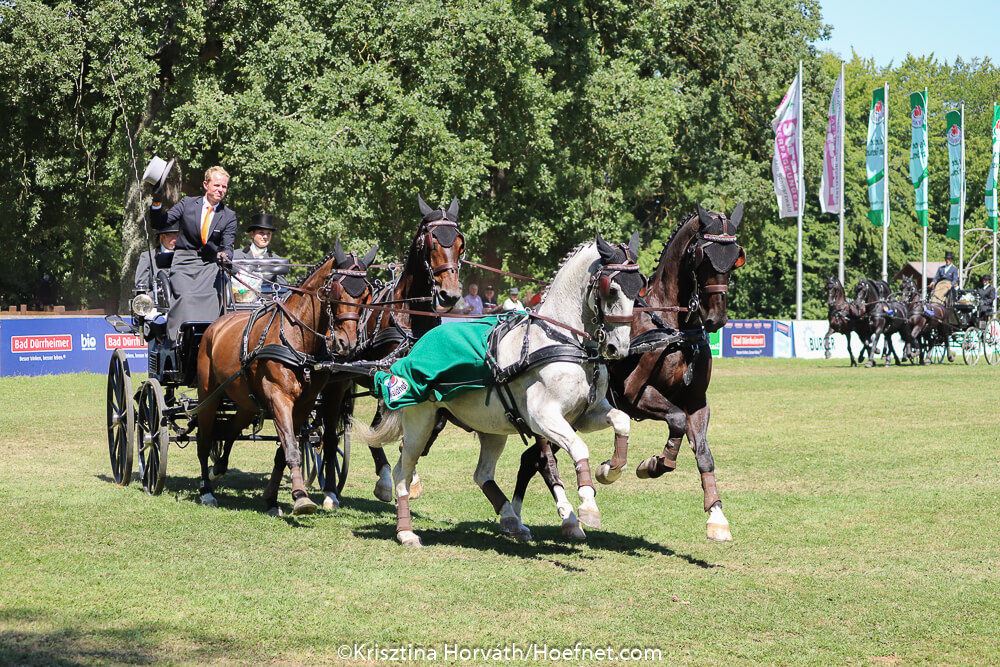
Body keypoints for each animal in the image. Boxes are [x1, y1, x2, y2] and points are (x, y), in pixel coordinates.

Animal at [194, 240, 376, 514]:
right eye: (335, 292)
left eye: (366, 295)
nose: (347, 343)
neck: (296, 336)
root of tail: (216, 325)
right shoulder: (278, 396)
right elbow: (290, 446)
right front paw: (301, 497)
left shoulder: (303, 404)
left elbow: (284, 449)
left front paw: (271, 498)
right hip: (208, 395)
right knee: (204, 439)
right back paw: (206, 490)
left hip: (246, 402)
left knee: (230, 430)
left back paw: (219, 468)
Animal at [353, 234, 642, 546]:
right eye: (612, 288)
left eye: (639, 288)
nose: (617, 348)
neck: (562, 341)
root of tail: (411, 351)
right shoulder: (543, 417)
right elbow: (577, 447)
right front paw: (587, 505)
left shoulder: (585, 414)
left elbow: (621, 420)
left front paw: (611, 469)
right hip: (421, 422)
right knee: (402, 470)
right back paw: (406, 531)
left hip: (491, 428)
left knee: (482, 474)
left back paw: (512, 520)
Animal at [512, 204, 745, 542]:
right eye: (703, 255)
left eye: (736, 257)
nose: (715, 318)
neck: (671, 328)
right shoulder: (635, 396)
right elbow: (676, 420)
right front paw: (653, 464)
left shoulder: (698, 401)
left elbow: (703, 452)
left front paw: (717, 516)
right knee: (542, 460)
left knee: (529, 460)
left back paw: (525, 520)